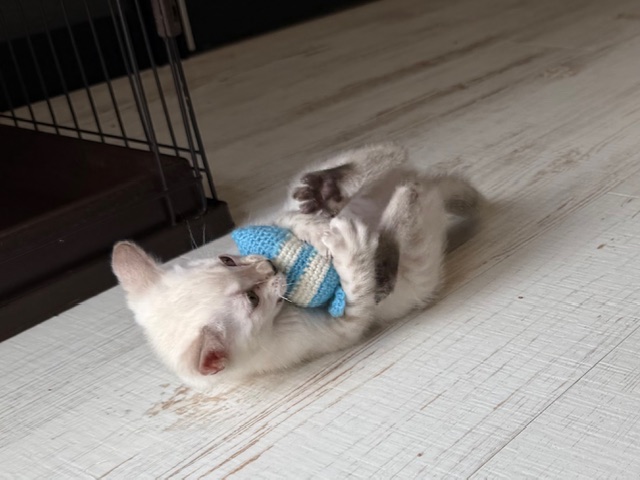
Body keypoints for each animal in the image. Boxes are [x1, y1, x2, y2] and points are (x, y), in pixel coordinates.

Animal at [112, 143, 481, 390]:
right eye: (252, 300)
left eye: (227, 259)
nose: (270, 267)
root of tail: (426, 180)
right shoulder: (344, 326)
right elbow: (357, 284)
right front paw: (348, 247)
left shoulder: (262, 223)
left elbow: (284, 218)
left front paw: (313, 229)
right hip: (418, 260)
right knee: (401, 217)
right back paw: (398, 206)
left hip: (345, 181)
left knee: (381, 155)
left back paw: (328, 189)